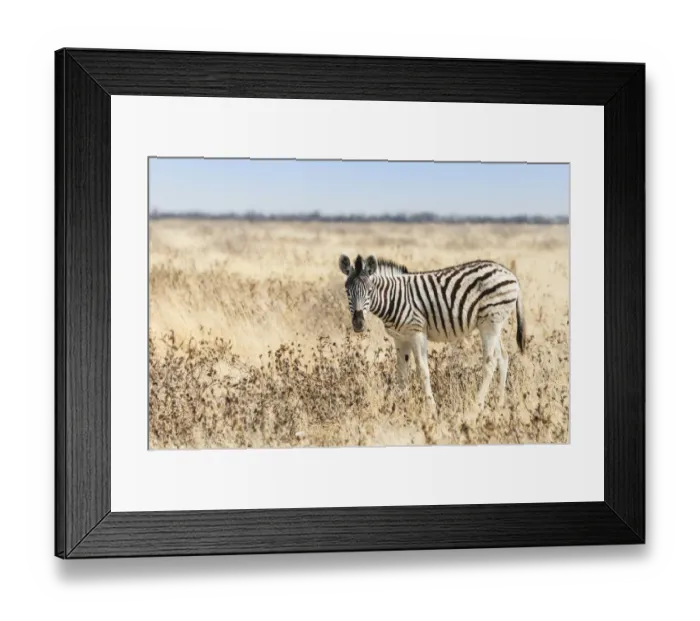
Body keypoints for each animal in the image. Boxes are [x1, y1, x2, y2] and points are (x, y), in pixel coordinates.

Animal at [338, 253, 526, 410]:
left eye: (369, 291)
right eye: (347, 291)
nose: (358, 324)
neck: (394, 297)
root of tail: (511, 274)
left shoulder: (417, 332)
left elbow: (423, 370)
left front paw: (431, 407)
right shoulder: (400, 338)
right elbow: (401, 372)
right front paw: (399, 406)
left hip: (490, 322)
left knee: (490, 362)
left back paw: (476, 405)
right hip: (494, 324)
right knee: (503, 357)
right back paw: (499, 404)